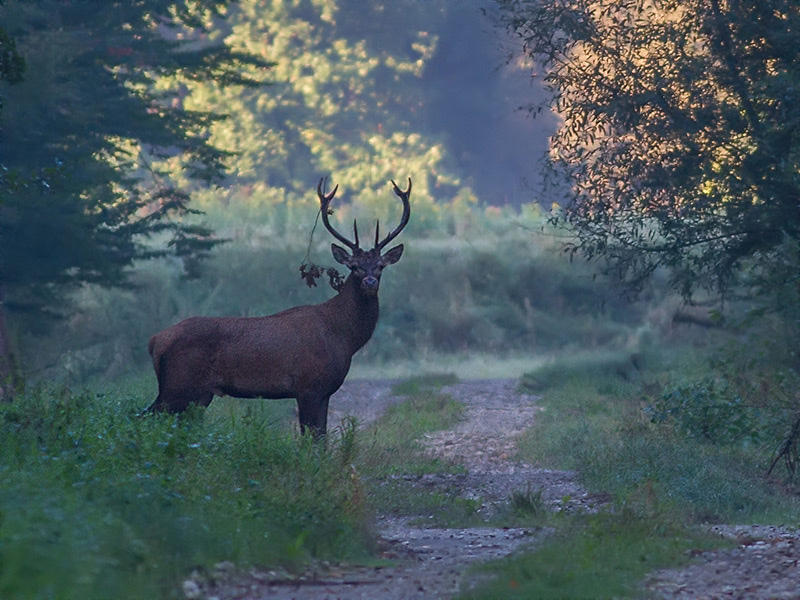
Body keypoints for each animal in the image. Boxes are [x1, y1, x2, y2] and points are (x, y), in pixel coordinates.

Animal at [141, 176, 412, 438]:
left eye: (380, 266)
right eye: (354, 267)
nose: (370, 282)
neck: (343, 338)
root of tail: (155, 340)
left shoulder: (325, 392)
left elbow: (322, 438)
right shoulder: (307, 386)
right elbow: (311, 440)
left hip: (197, 393)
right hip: (177, 385)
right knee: (146, 416)